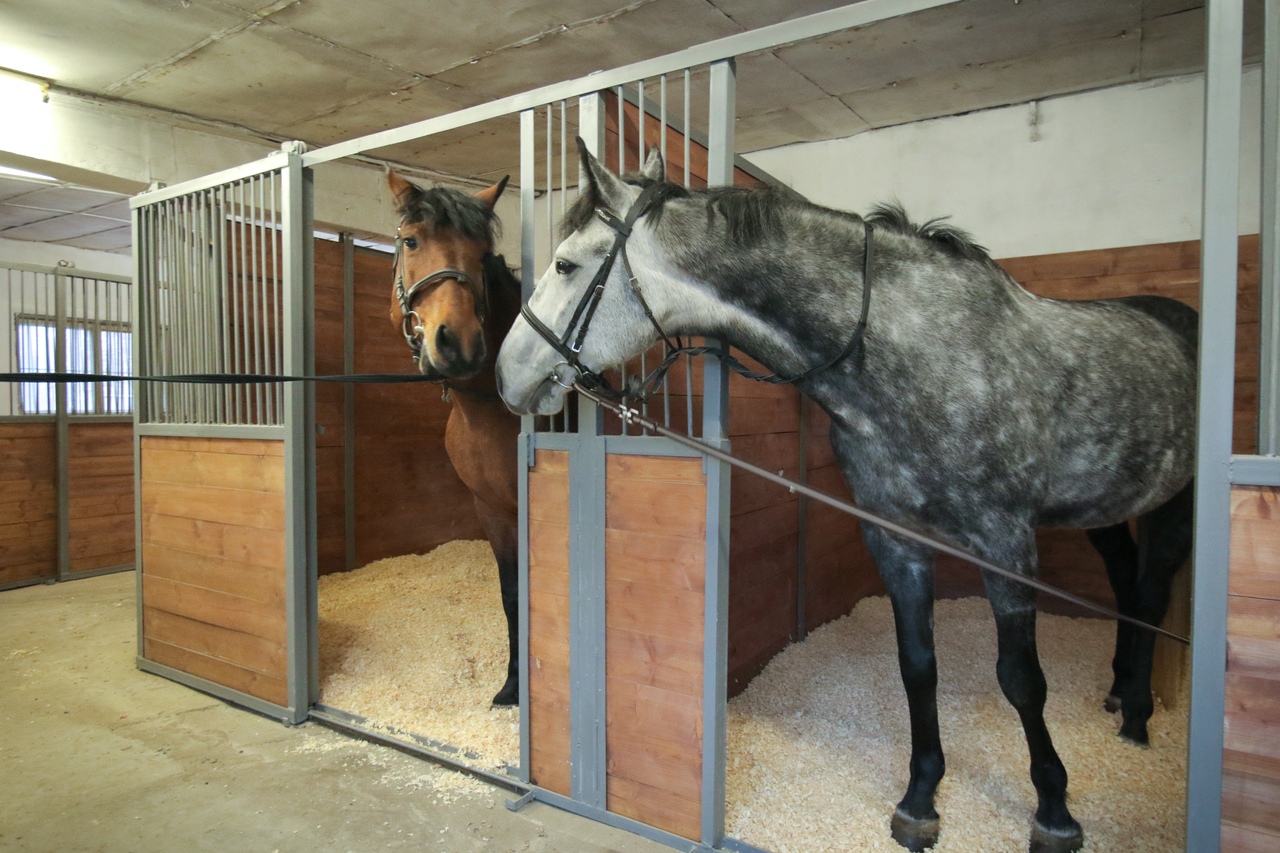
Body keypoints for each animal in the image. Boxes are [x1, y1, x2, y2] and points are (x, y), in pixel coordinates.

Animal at [387, 170, 523, 707]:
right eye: (411, 241)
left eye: (482, 254)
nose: (459, 343)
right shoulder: (493, 510)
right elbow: (512, 594)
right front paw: (513, 685)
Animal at [494, 141, 1196, 852]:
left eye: (565, 263)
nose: (506, 375)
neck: (914, 350)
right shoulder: (893, 537)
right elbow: (918, 666)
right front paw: (919, 800)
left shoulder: (1006, 542)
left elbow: (1022, 680)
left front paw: (1053, 811)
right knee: (1126, 582)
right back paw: (1120, 693)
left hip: (1173, 503)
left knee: (1152, 590)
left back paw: (1137, 717)